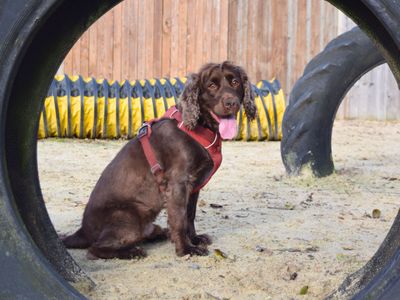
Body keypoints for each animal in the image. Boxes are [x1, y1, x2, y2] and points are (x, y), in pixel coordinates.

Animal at [62, 62, 256, 258]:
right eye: (211, 85)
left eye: (235, 82)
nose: (231, 103)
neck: (198, 127)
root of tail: (82, 231)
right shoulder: (178, 183)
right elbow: (179, 218)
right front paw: (186, 249)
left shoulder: (193, 187)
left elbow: (190, 215)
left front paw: (194, 239)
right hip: (129, 215)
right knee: (95, 248)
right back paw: (132, 252)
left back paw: (161, 233)